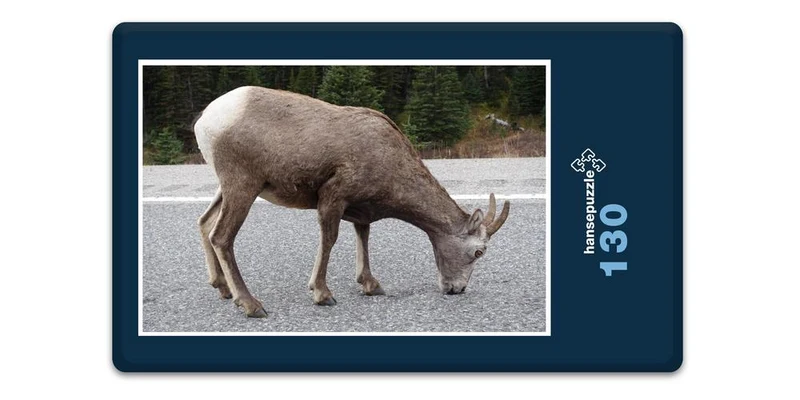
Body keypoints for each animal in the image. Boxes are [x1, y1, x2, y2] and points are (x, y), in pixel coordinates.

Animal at [193, 86, 510, 318]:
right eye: (479, 251)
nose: (457, 289)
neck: (391, 162)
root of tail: (205, 120)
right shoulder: (333, 196)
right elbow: (329, 240)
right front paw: (322, 294)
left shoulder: (360, 210)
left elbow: (363, 238)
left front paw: (371, 285)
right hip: (243, 185)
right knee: (221, 236)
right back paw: (251, 305)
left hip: (227, 188)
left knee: (205, 223)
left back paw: (223, 290)